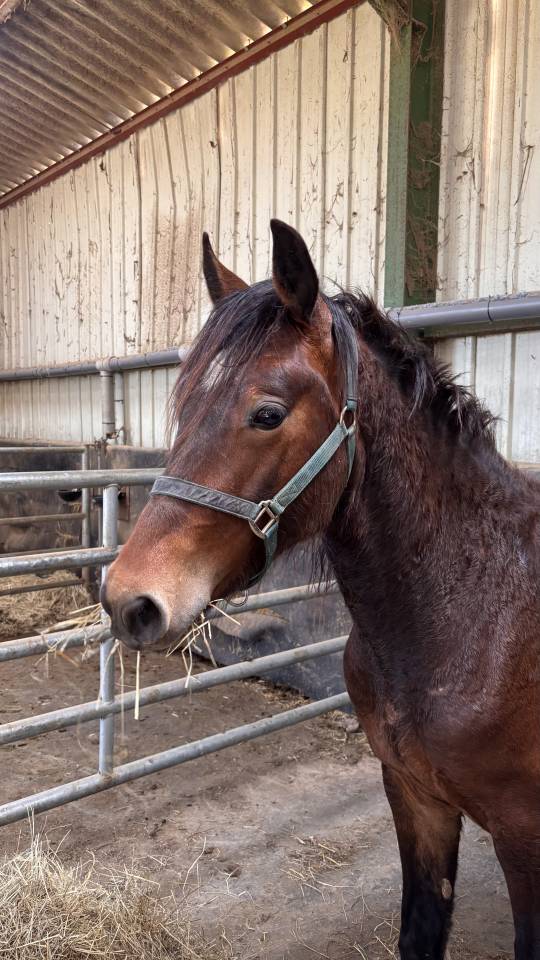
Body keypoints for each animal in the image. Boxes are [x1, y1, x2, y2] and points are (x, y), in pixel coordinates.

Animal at [102, 219, 540, 960]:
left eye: (268, 414)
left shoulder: (525, 838)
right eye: (183, 405)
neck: (472, 614)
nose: (129, 599)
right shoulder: (416, 799)